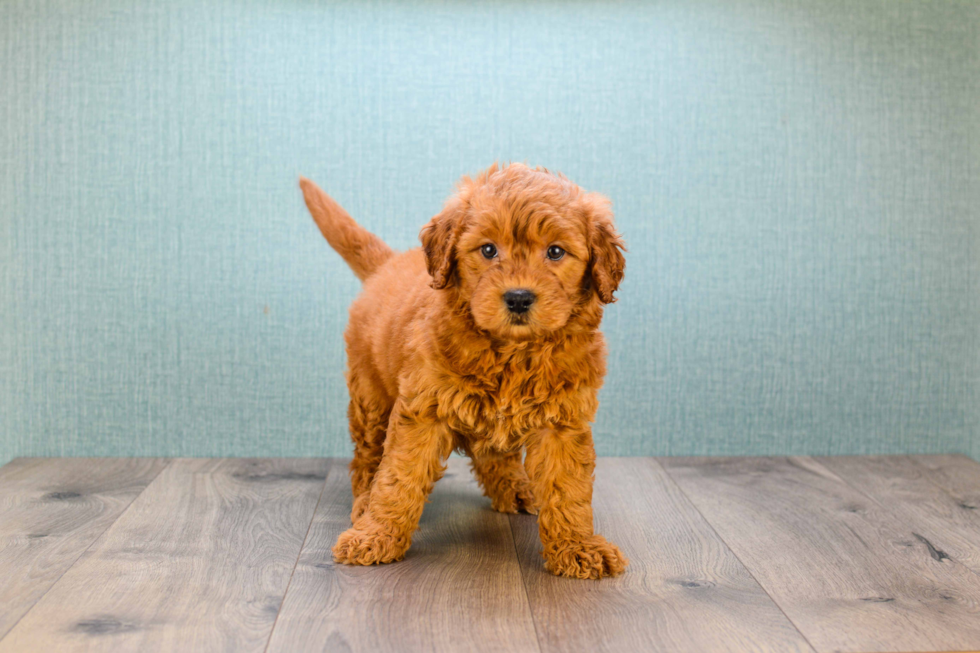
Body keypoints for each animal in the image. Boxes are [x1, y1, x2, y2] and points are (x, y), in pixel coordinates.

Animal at [298, 164, 628, 580]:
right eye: (488, 250)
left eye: (555, 252)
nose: (518, 298)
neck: (512, 352)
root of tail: (389, 262)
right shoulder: (422, 411)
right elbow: (398, 479)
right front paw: (376, 535)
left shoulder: (563, 422)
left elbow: (568, 488)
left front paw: (578, 547)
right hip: (370, 399)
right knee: (368, 458)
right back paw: (363, 506)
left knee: (494, 454)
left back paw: (516, 488)